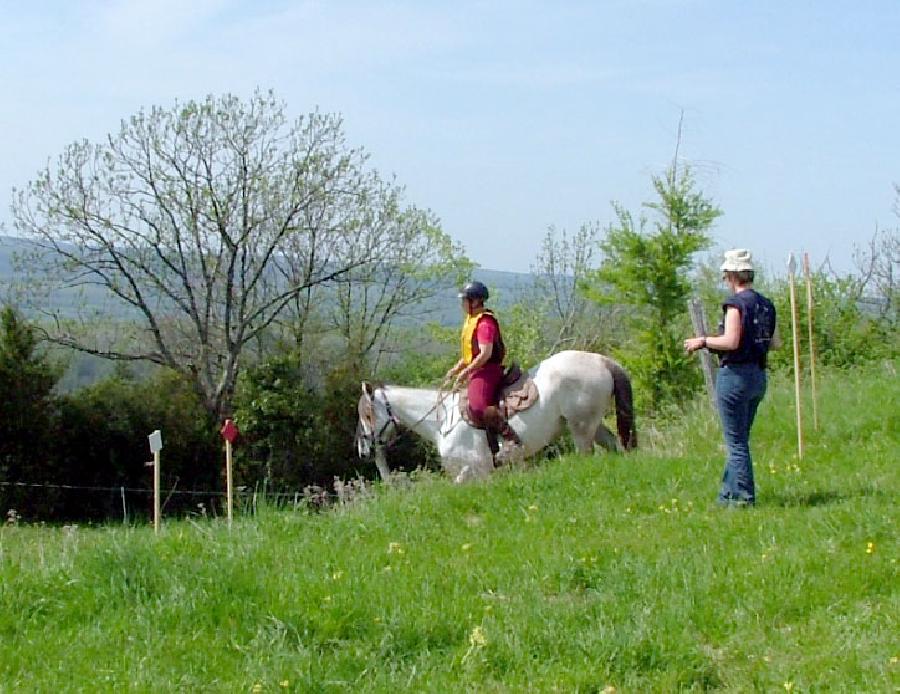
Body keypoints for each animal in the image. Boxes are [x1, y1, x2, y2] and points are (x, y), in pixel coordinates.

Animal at [356, 354, 636, 484]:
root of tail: (601, 360)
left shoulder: (475, 469)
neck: (442, 422)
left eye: (367, 414)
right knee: (615, 447)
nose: (363, 449)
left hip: (581, 429)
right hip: (593, 426)